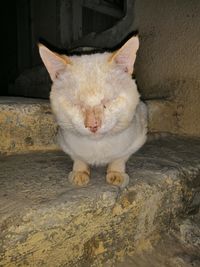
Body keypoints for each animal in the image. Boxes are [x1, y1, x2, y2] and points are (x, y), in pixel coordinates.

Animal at [38, 36, 147, 188]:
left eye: (108, 101)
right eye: (76, 104)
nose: (93, 125)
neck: (97, 147)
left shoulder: (139, 134)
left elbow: (120, 157)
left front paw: (116, 173)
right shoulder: (64, 140)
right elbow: (77, 157)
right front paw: (79, 172)